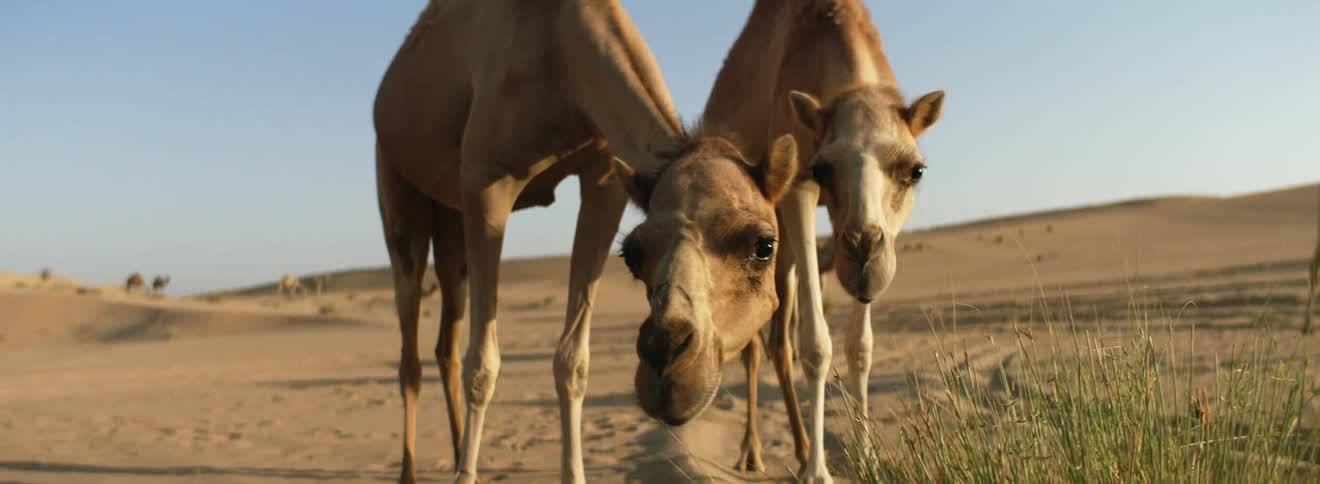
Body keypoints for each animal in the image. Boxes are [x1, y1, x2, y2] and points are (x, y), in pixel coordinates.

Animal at [373, 2, 791, 483]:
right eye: (634, 254)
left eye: (764, 245)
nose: (666, 361)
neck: (559, 52)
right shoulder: (484, 180)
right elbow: (482, 364)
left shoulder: (605, 179)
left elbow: (573, 360)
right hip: (396, 182)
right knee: (410, 347)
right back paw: (413, 470)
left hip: (451, 221)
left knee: (446, 343)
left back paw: (460, 448)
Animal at [702, 1, 945, 479]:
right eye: (823, 168)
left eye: (915, 170)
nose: (864, 253)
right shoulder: (798, 187)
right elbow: (815, 343)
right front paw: (818, 471)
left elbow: (861, 346)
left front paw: (866, 457)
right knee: (759, 344)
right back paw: (755, 451)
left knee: (778, 339)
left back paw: (796, 447)